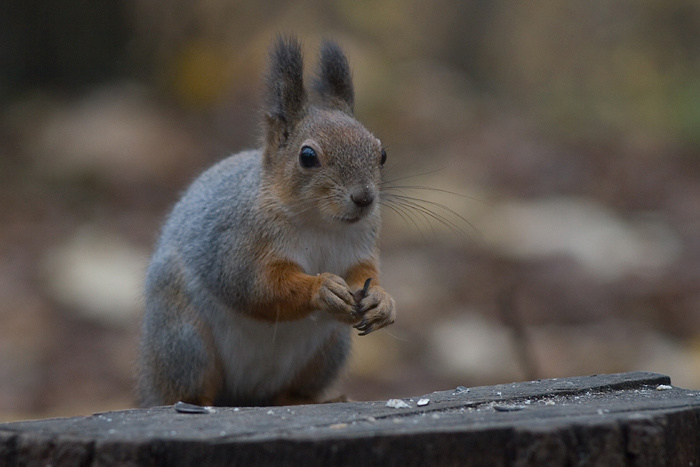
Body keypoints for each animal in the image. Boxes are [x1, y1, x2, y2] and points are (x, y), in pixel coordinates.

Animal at [137, 35, 396, 407]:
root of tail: (245, 393)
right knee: (189, 388)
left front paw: (382, 300)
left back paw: (308, 400)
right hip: (184, 340)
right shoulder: (238, 243)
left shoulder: (361, 247)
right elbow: (257, 286)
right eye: (307, 156)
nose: (364, 198)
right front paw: (322, 288)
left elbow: (365, 273)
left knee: (289, 392)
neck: (322, 224)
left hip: (327, 353)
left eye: (381, 153)